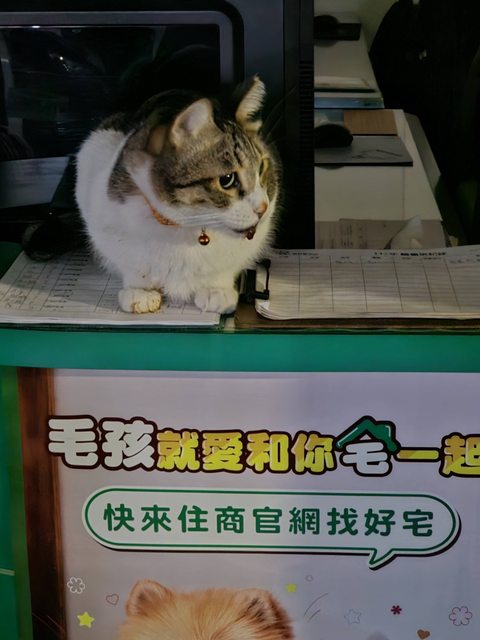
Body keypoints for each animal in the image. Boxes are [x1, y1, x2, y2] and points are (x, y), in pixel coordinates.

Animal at [75, 76, 280, 314]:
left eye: (261, 168)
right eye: (227, 179)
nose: (263, 208)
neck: (187, 225)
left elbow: (225, 266)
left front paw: (216, 290)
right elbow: (132, 264)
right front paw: (140, 292)